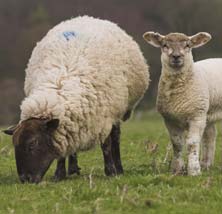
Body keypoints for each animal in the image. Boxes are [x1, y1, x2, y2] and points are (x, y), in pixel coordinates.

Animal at [3, 16, 149, 184]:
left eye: (33, 143)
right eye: (14, 144)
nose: (25, 179)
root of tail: (87, 17)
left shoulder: (104, 117)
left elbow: (106, 145)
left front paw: (111, 171)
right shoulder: (65, 126)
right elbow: (62, 150)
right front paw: (59, 174)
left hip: (118, 109)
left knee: (116, 136)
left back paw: (118, 168)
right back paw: (73, 168)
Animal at [143, 31, 221, 176]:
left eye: (188, 45)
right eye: (165, 45)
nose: (176, 56)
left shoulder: (196, 116)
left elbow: (192, 143)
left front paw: (194, 170)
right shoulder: (170, 119)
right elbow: (177, 144)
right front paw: (177, 169)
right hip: (207, 113)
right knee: (210, 135)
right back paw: (206, 164)